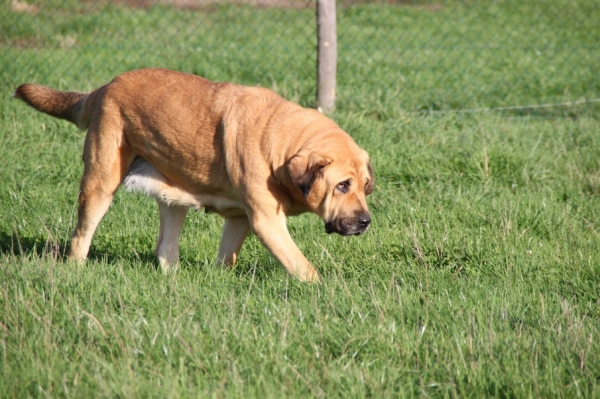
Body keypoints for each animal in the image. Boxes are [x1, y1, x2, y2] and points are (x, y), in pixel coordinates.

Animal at [14, 68, 372, 282]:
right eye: (342, 185)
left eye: (366, 187)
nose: (366, 221)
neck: (282, 147)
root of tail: (105, 86)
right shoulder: (267, 221)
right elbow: (302, 266)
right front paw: (323, 291)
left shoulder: (240, 219)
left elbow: (227, 257)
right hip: (99, 185)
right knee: (80, 236)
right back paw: (75, 271)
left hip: (173, 199)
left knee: (164, 248)